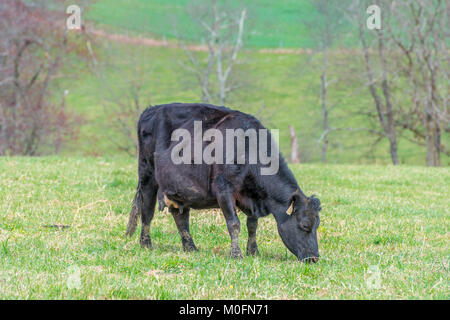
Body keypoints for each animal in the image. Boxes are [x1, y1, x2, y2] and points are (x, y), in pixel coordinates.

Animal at [125, 102, 322, 262]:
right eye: (305, 225)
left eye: (317, 225)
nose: (314, 258)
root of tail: (152, 109)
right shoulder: (224, 189)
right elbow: (234, 223)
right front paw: (236, 254)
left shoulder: (253, 196)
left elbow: (252, 225)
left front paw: (253, 252)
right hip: (147, 175)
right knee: (147, 211)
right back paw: (146, 244)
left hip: (179, 188)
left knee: (181, 216)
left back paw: (190, 247)